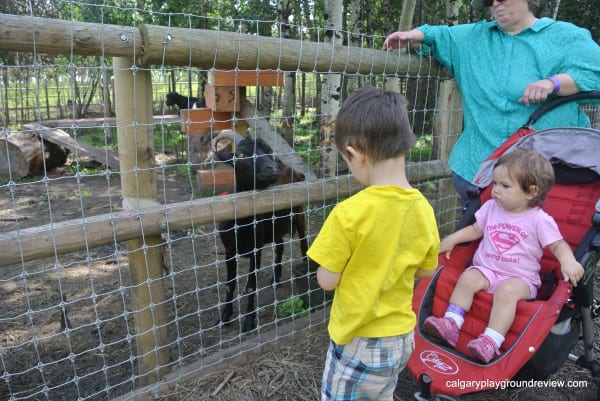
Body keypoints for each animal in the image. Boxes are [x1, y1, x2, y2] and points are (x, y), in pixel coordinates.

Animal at [214, 130, 308, 332]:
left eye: (268, 150)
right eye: (240, 155)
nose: (272, 168)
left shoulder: (256, 249)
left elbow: (251, 285)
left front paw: (249, 322)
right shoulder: (229, 250)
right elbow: (229, 284)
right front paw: (224, 318)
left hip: (299, 212)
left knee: (304, 244)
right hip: (275, 226)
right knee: (280, 246)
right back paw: (275, 279)